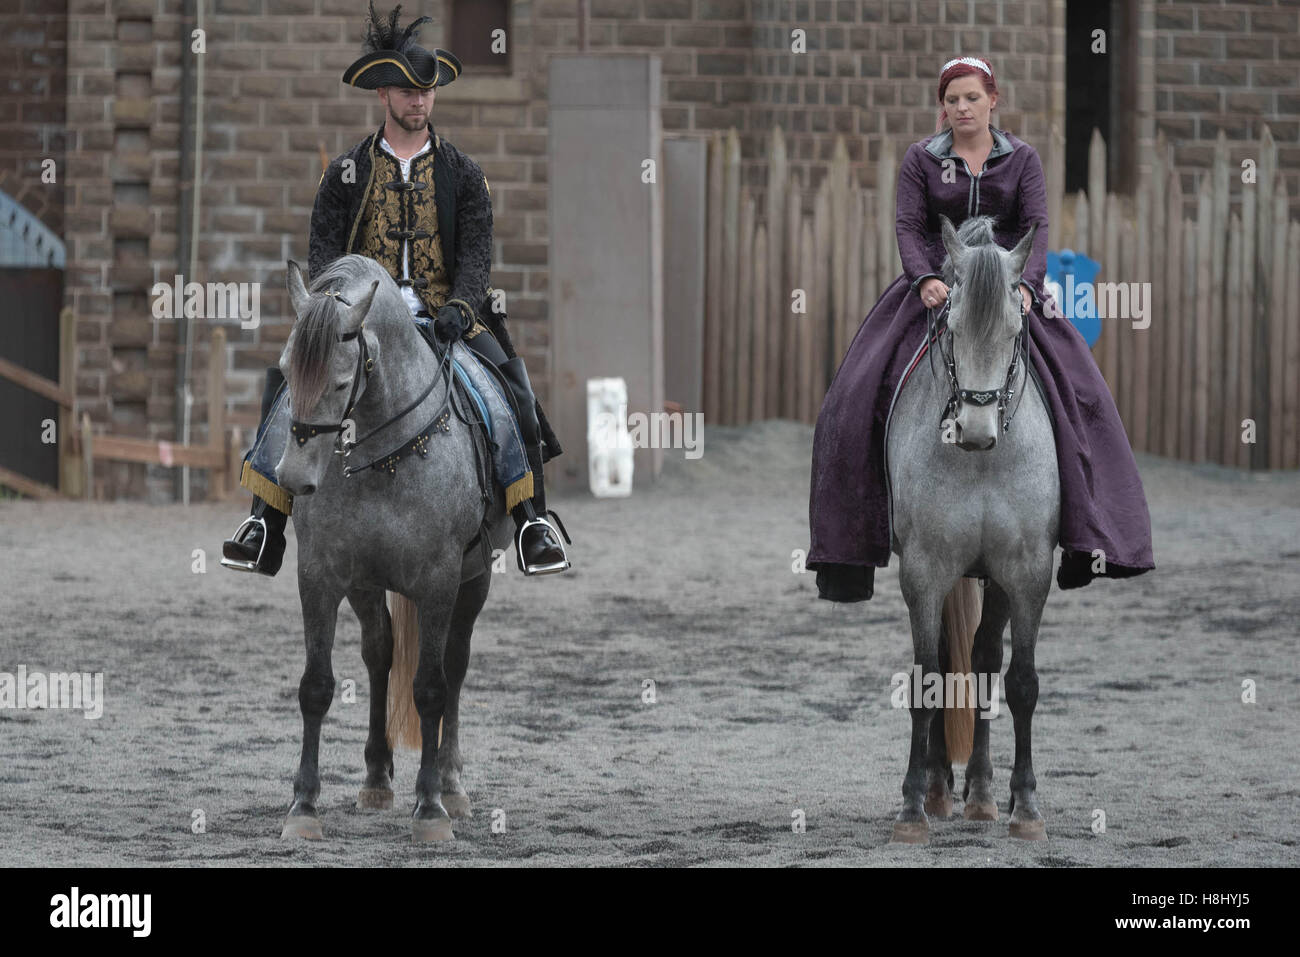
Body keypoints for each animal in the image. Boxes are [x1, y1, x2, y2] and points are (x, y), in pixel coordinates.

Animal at [273, 256, 506, 842]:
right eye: (285, 371)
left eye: (339, 382)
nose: (293, 479)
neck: (382, 458)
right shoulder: (321, 576)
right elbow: (316, 686)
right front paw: (303, 807)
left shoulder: (440, 580)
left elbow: (431, 688)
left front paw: (431, 808)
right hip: (366, 584)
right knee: (379, 655)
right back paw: (376, 778)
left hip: (474, 580)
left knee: (455, 666)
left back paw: (451, 783)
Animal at [883, 214, 1055, 842]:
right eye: (951, 328)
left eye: (1014, 329)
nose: (976, 431)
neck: (981, 463)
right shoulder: (925, 572)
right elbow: (926, 680)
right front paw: (912, 807)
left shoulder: (1026, 572)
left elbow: (1021, 682)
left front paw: (1026, 808)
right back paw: (939, 790)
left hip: (994, 578)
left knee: (982, 664)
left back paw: (981, 794)